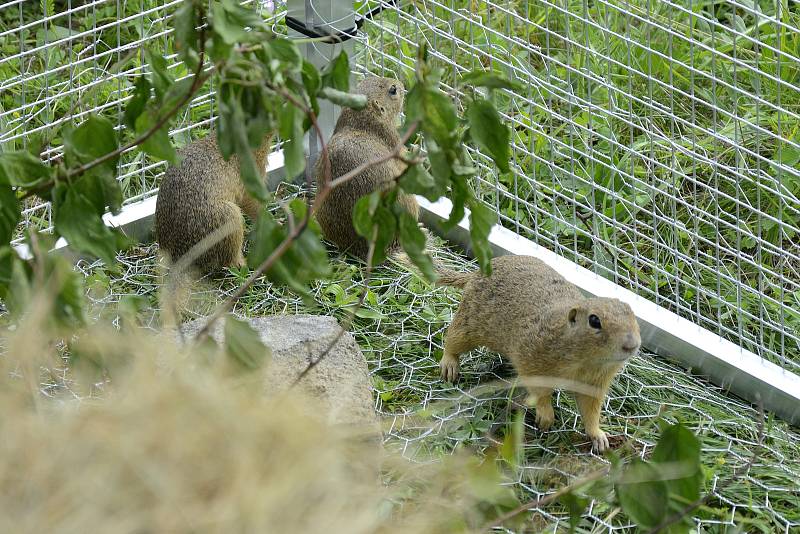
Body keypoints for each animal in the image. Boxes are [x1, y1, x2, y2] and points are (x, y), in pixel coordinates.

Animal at [434, 255, 640, 452]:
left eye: (632, 313)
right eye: (594, 321)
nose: (632, 345)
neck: (588, 361)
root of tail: (475, 273)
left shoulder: (594, 382)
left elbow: (590, 410)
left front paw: (598, 436)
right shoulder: (532, 357)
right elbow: (540, 390)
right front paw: (546, 415)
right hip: (469, 325)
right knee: (452, 339)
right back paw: (449, 365)